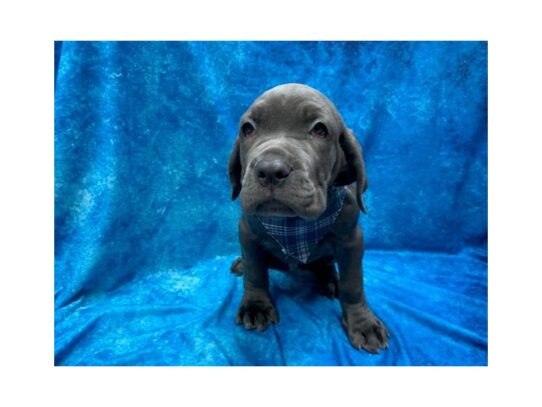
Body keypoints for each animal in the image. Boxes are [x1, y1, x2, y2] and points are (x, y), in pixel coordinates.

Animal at [227, 83, 388, 354]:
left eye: (320, 130)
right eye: (248, 129)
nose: (270, 169)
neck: (293, 224)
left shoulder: (351, 240)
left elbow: (353, 283)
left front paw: (362, 323)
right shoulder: (247, 232)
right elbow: (256, 271)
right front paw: (256, 306)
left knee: (326, 265)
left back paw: (331, 279)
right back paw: (241, 264)